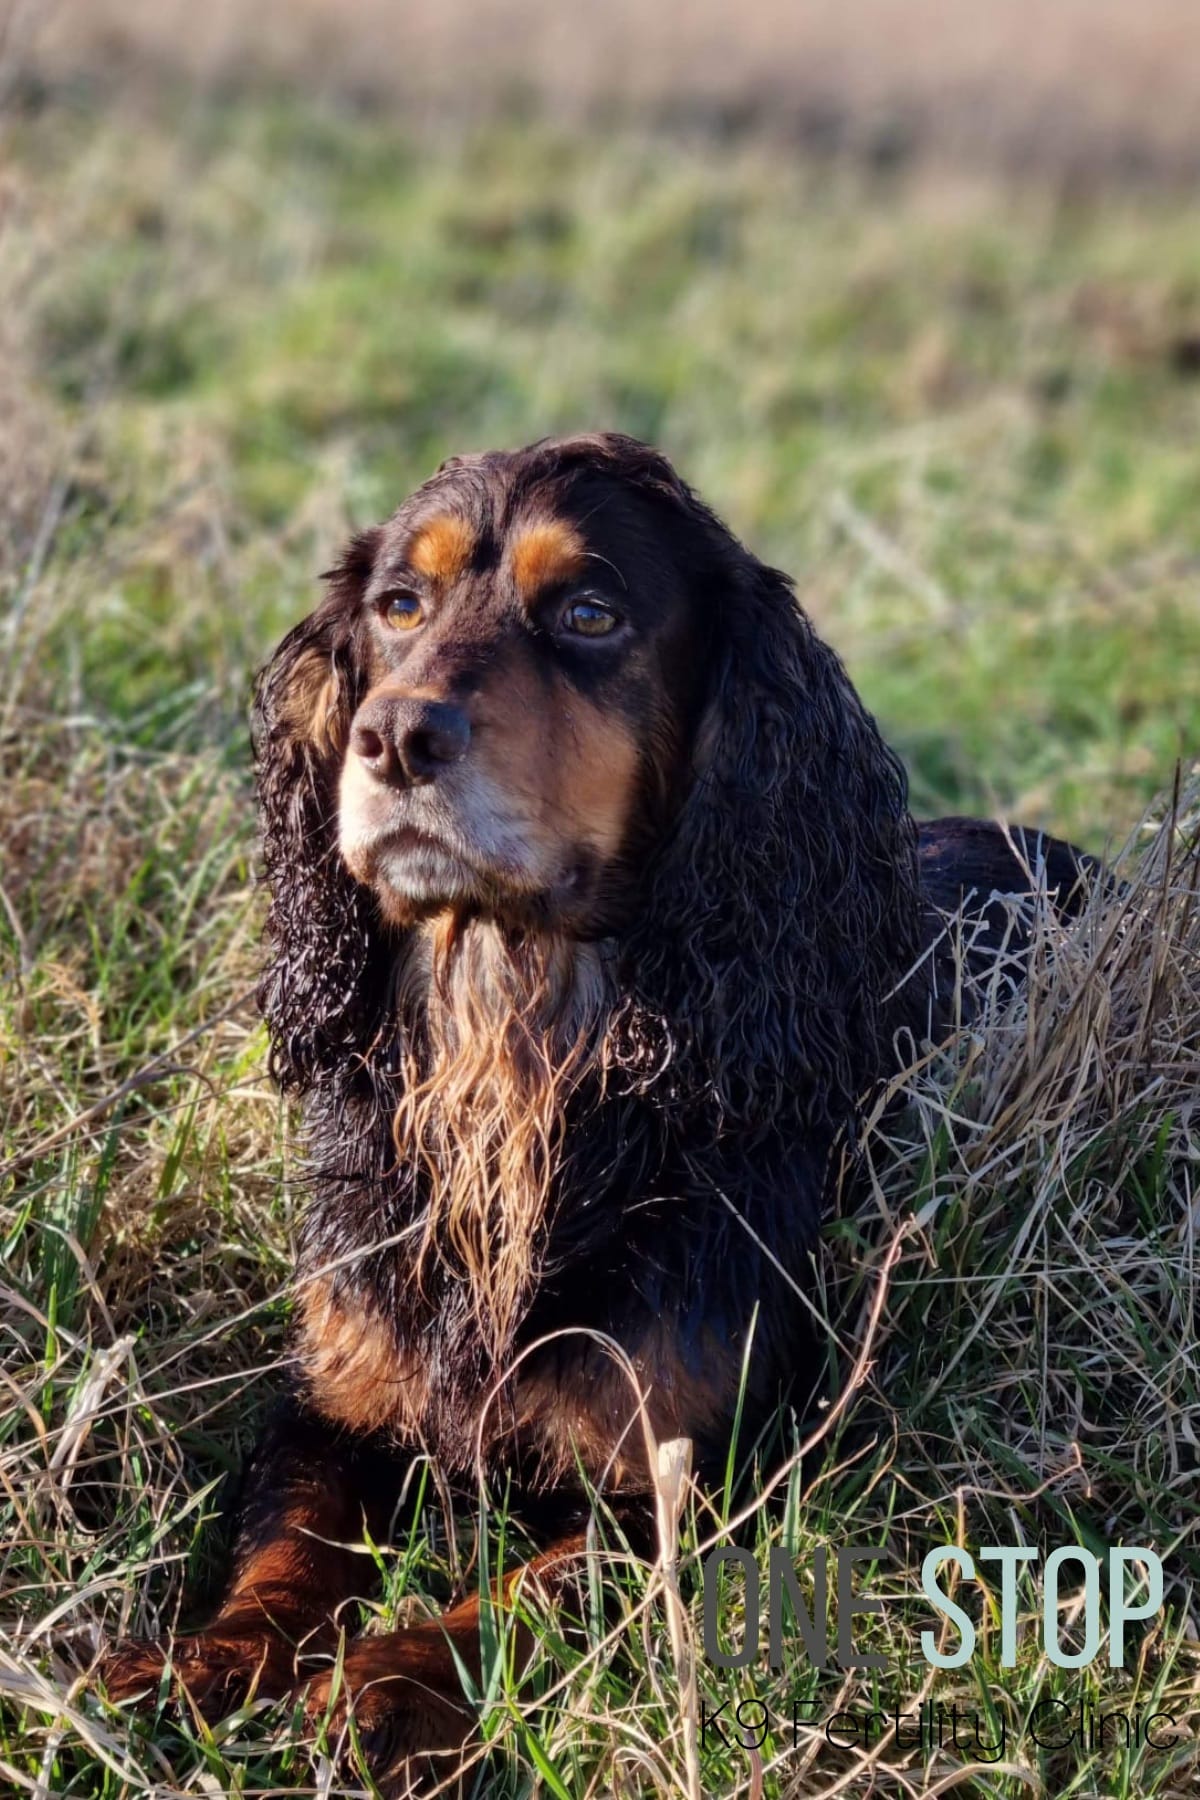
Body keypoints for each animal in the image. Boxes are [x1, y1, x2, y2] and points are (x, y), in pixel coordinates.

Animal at [105, 432, 1101, 1785]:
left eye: (589, 613)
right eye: (398, 606)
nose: (393, 737)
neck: (513, 1066)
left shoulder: (698, 1476)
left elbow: (532, 1588)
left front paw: (384, 1687)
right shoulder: (333, 1403)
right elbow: (288, 1546)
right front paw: (201, 1664)